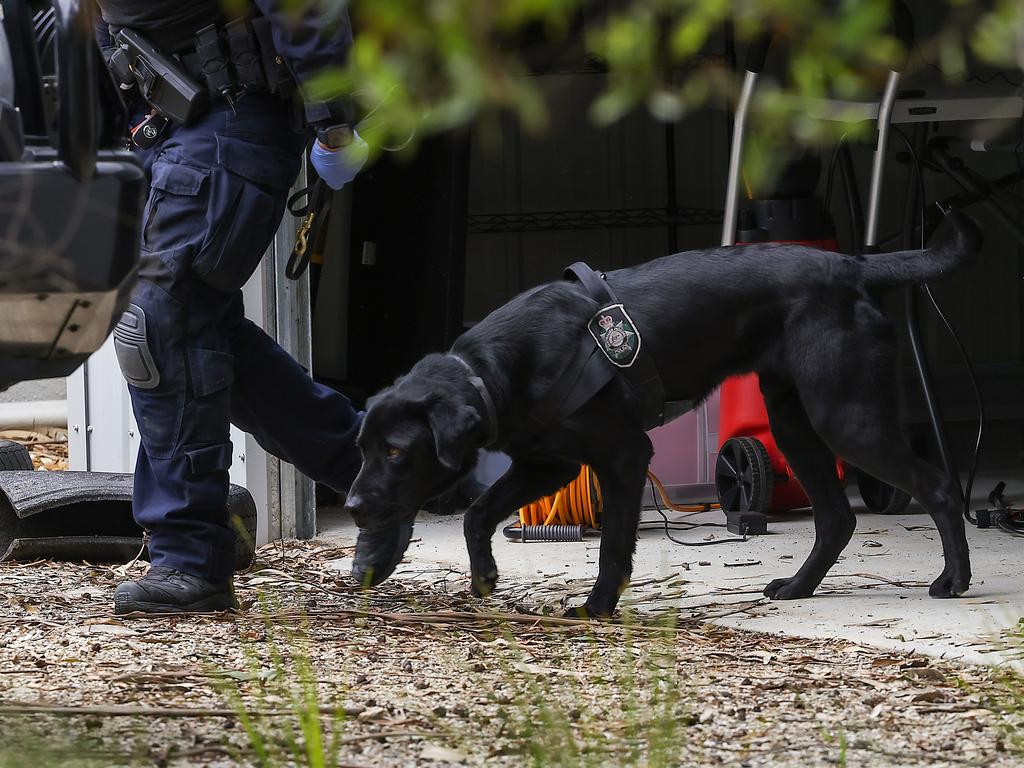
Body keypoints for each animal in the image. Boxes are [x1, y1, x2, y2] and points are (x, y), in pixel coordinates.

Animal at [346, 211, 983, 618]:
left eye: (396, 451)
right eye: (362, 448)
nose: (350, 505)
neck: (492, 370)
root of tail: (853, 267)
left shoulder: (624, 457)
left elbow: (612, 544)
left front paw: (597, 607)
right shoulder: (546, 465)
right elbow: (477, 513)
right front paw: (484, 575)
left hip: (845, 417)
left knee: (935, 485)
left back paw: (954, 579)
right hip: (793, 422)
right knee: (836, 518)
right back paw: (799, 587)